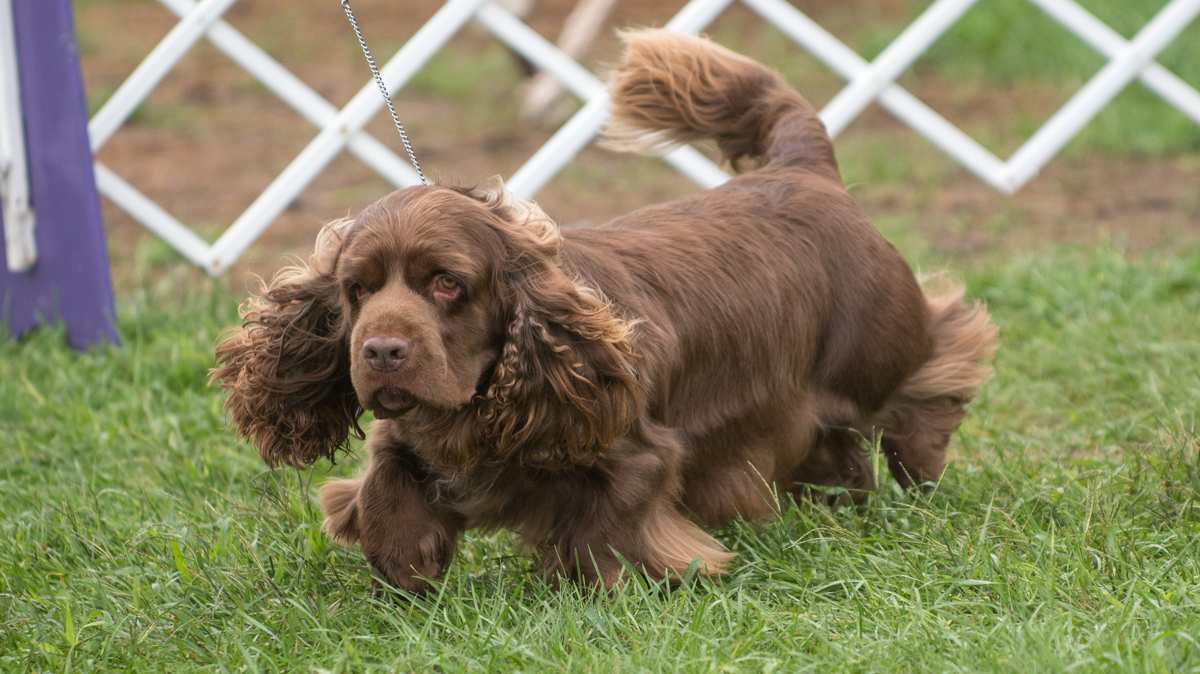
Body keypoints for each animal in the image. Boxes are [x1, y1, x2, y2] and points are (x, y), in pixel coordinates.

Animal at [213, 30, 993, 587]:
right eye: (358, 289)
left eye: (447, 284)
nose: (380, 352)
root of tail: (807, 170)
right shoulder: (411, 435)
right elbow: (385, 483)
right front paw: (404, 562)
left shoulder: (635, 452)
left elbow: (606, 529)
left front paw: (613, 587)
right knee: (839, 452)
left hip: (877, 352)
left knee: (933, 370)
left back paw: (920, 468)